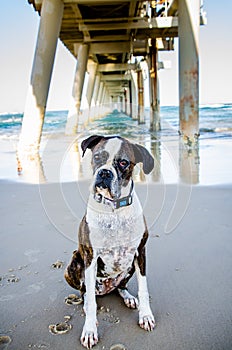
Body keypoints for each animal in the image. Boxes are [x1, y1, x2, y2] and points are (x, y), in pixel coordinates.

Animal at [65, 134, 156, 348]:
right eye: (98, 157)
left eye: (123, 163)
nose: (104, 173)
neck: (114, 210)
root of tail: (106, 288)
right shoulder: (90, 257)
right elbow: (90, 300)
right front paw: (90, 330)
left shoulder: (140, 252)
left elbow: (144, 289)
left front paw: (145, 316)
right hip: (74, 262)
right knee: (85, 292)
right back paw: (87, 304)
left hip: (129, 267)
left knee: (121, 287)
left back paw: (128, 297)